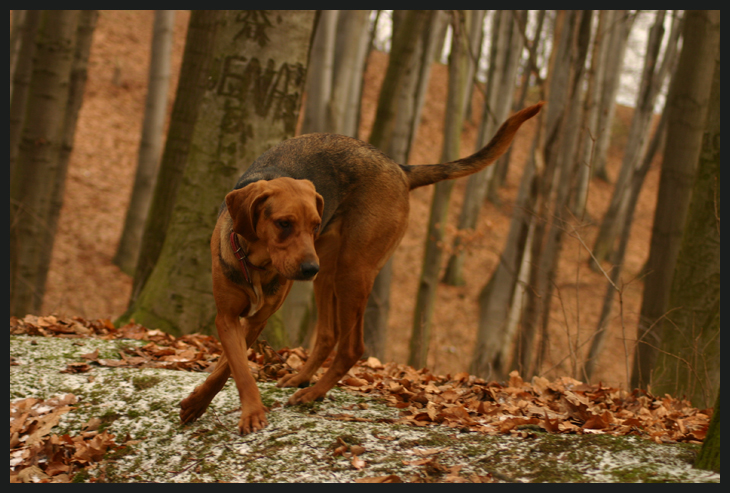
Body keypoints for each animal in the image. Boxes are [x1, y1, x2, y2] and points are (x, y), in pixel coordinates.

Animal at [178, 102, 540, 432]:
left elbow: (232, 367)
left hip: (351, 270)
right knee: (328, 335)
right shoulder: (227, 316)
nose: (308, 268)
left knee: (352, 347)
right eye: (283, 224)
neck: (255, 262)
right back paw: (301, 379)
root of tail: (399, 167)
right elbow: (232, 365)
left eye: (314, 224)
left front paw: (237, 409)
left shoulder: (257, 318)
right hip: (330, 273)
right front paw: (203, 402)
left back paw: (313, 393)